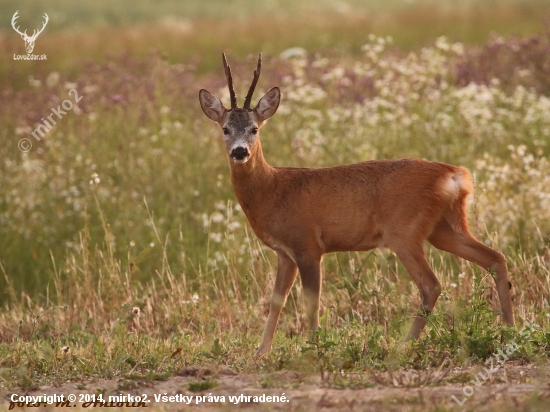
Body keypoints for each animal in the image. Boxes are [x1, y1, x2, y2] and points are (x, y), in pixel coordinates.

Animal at [199, 54, 516, 358]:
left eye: (254, 128)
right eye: (225, 129)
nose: (240, 152)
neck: (272, 190)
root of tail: (454, 174)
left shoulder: (308, 245)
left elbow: (311, 301)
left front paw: (314, 347)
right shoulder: (285, 253)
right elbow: (277, 301)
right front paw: (260, 352)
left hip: (404, 229)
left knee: (431, 284)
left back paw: (404, 345)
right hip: (445, 227)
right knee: (495, 258)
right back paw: (509, 331)